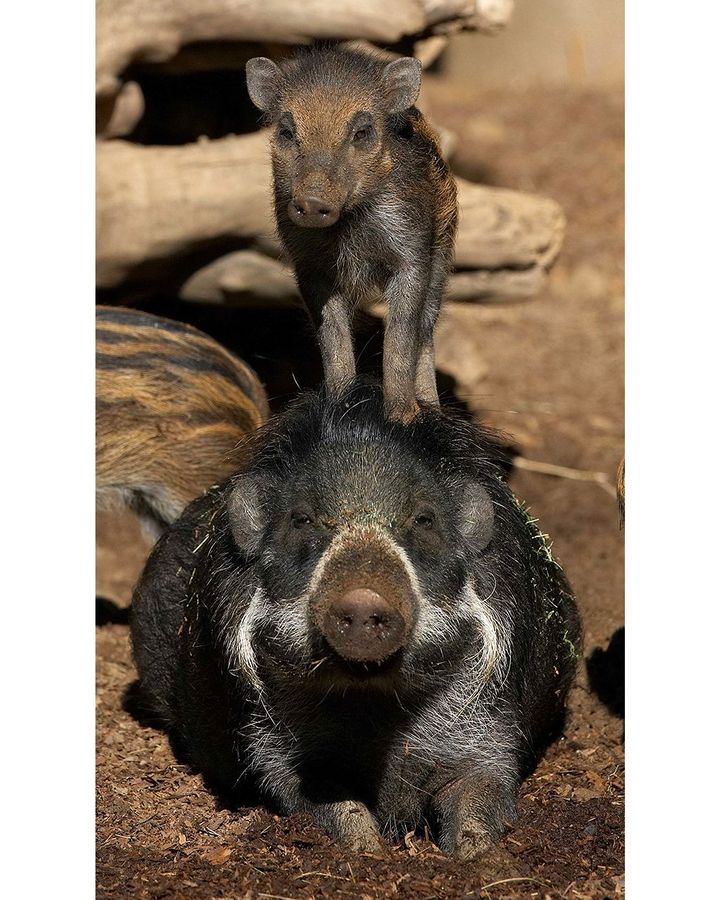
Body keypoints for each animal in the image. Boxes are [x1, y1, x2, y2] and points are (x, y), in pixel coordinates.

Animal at [131, 380, 580, 856]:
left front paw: (476, 858)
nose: (363, 597)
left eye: (424, 519)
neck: (374, 705)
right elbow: (331, 805)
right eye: (302, 519)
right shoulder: (271, 749)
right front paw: (371, 853)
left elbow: (480, 798)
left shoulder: (490, 733)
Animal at [246, 51, 456, 424]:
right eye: (286, 131)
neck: (349, 228)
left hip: (442, 257)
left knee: (427, 330)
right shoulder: (310, 266)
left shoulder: (412, 253)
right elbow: (334, 338)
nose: (312, 202)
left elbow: (402, 336)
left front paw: (402, 418)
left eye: (362, 132)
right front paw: (339, 405)